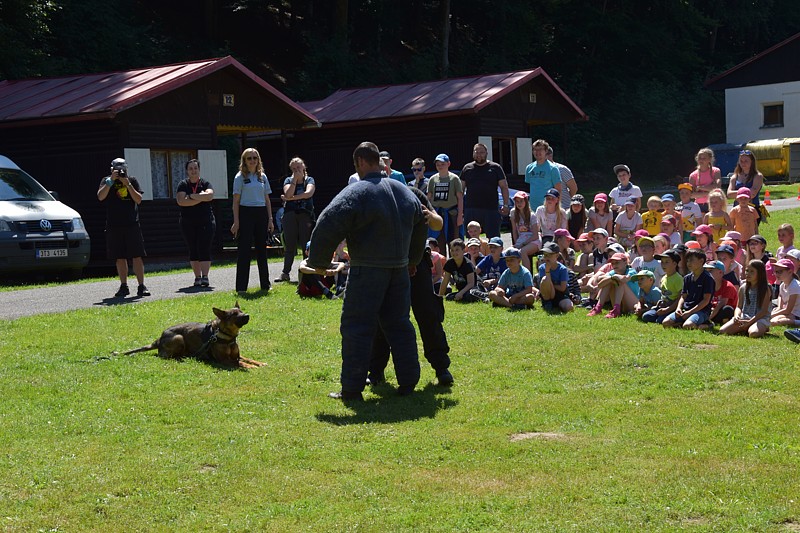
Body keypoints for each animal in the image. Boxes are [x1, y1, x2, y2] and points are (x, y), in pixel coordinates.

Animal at [120, 302, 266, 368]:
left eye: (241, 311)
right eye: (234, 314)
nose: (247, 316)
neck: (227, 337)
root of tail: (159, 339)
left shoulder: (237, 355)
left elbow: (247, 359)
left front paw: (259, 363)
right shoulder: (224, 360)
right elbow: (239, 363)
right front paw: (250, 366)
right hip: (179, 338)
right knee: (166, 356)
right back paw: (181, 358)